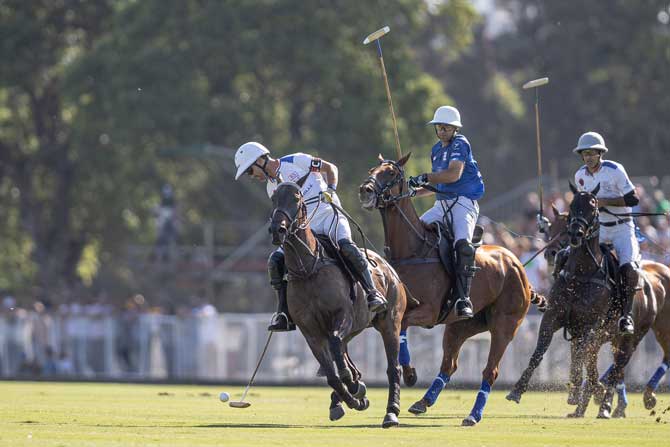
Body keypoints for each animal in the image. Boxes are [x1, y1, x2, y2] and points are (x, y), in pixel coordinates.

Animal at [270, 178, 406, 430]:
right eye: (273, 198)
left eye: (296, 198)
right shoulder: (310, 332)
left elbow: (337, 356)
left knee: (393, 367)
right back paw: (347, 395)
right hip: (355, 328)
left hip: (391, 323)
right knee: (342, 353)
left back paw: (391, 412)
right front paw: (354, 397)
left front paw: (353, 388)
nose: (277, 230)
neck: (308, 268)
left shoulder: (342, 315)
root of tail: (390, 270)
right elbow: (332, 375)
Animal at [360, 155, 540, 428]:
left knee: (490, 370)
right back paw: (423, 402)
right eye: (372, 169)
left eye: (390, 173)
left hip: (505, 324)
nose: (365, 190)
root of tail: (516, 263)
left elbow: (403, 327)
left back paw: (473, 415)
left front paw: (410, 373)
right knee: (449, 364)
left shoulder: (429, 311)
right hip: (461, 325)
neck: (412, 250)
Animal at [506, 184, 668, 418]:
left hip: (634, 336)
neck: (581, 273)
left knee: (618, 368)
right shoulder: (555, 318)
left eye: (593, 207)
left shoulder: (590, 324)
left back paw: (608, 405)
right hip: (613, 338)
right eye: (572, 206)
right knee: (607, 366)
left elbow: (582, 356)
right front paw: (517, 390)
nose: (575, 234)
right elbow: (542, 352)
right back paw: (585, 406)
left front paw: (588, 392)